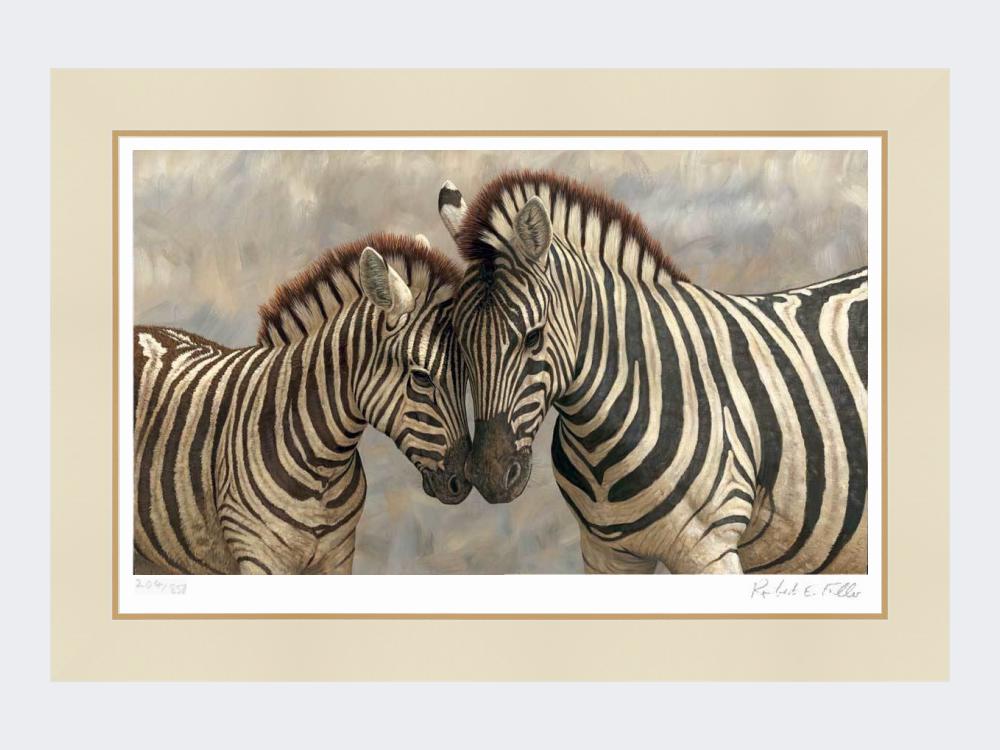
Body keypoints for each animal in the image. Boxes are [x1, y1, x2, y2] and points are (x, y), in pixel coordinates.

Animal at [133, 233, 472, 575]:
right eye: (422, 377)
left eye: (468, 376)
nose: (462, 484)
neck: (324, 469)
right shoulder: (260, 557)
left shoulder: (338, 557)